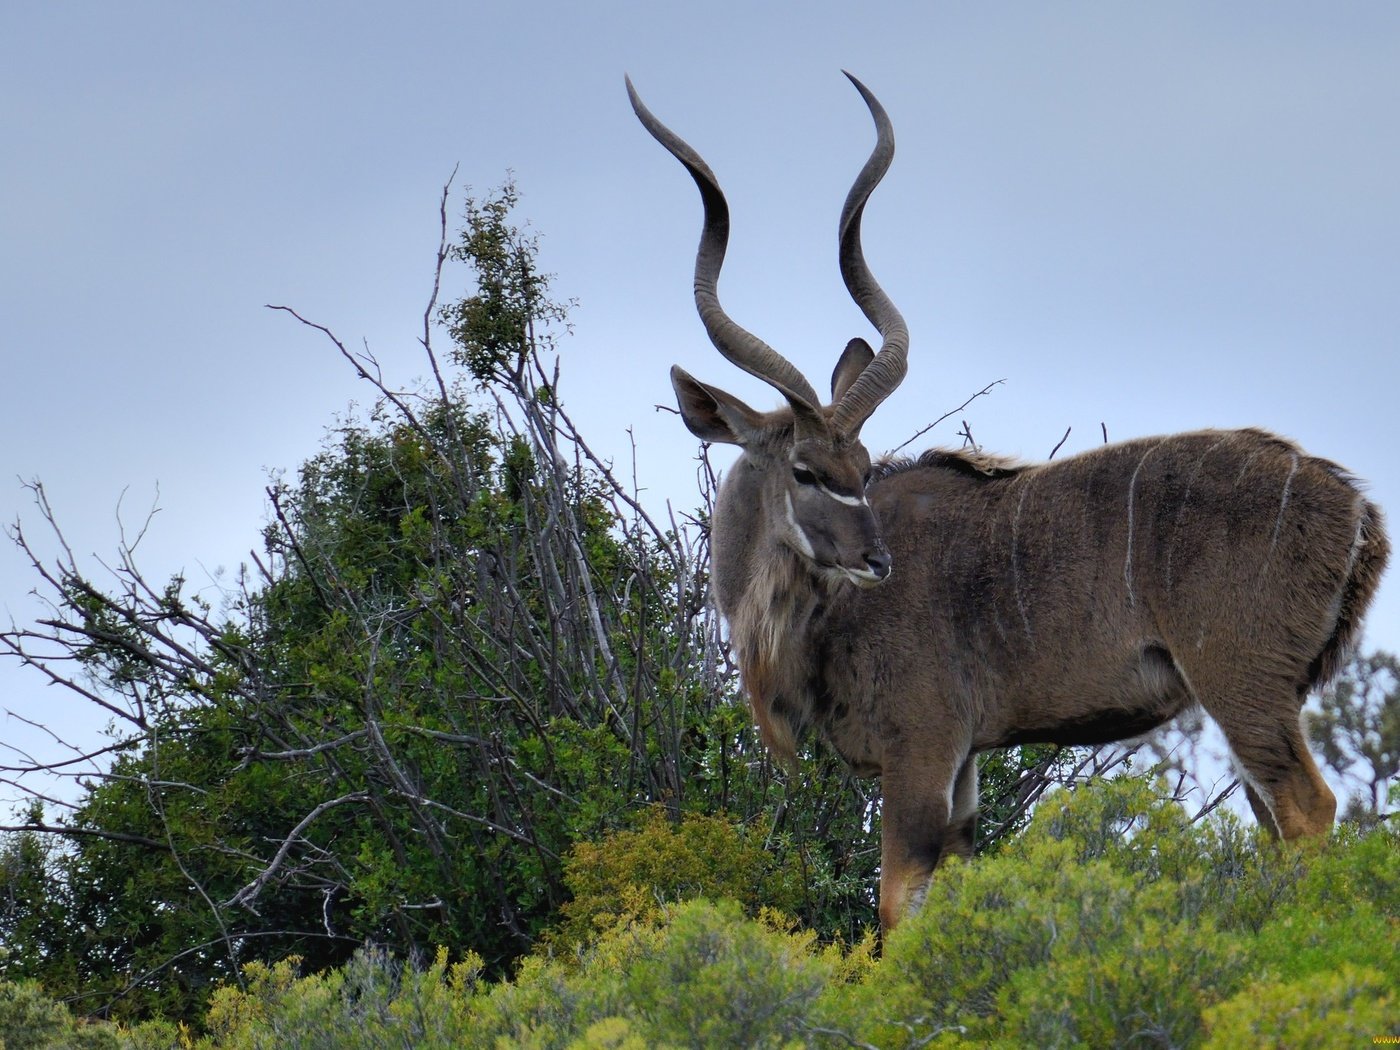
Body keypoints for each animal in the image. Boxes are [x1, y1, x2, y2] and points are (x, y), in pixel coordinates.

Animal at [632, 74, 1388, 929]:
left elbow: (897, 905)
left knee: (1306, 809)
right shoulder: (965, 762)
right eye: (806, 468)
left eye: (859, 464)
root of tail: (1355, 508)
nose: (876, 560)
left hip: (1240, 682)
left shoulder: (922, 746)